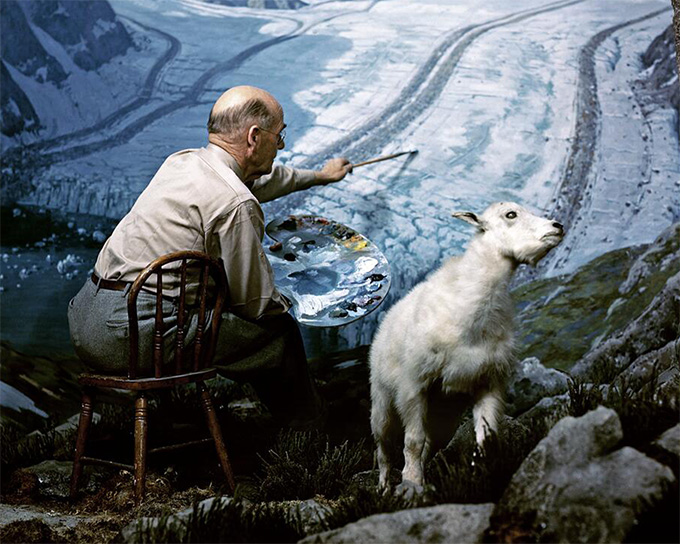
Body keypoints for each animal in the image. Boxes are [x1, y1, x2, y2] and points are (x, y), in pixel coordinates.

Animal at [370, 202, 564, 486]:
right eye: (510, 215)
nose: (557, 227)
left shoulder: (489, 382)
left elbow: (486, 440)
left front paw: (480, 476)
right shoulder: (414, 383)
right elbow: (413, 440)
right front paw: (411, 481)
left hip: (444, 411)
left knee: (430, 443)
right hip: (382, 400)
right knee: (383, 447)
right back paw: (384, 485)